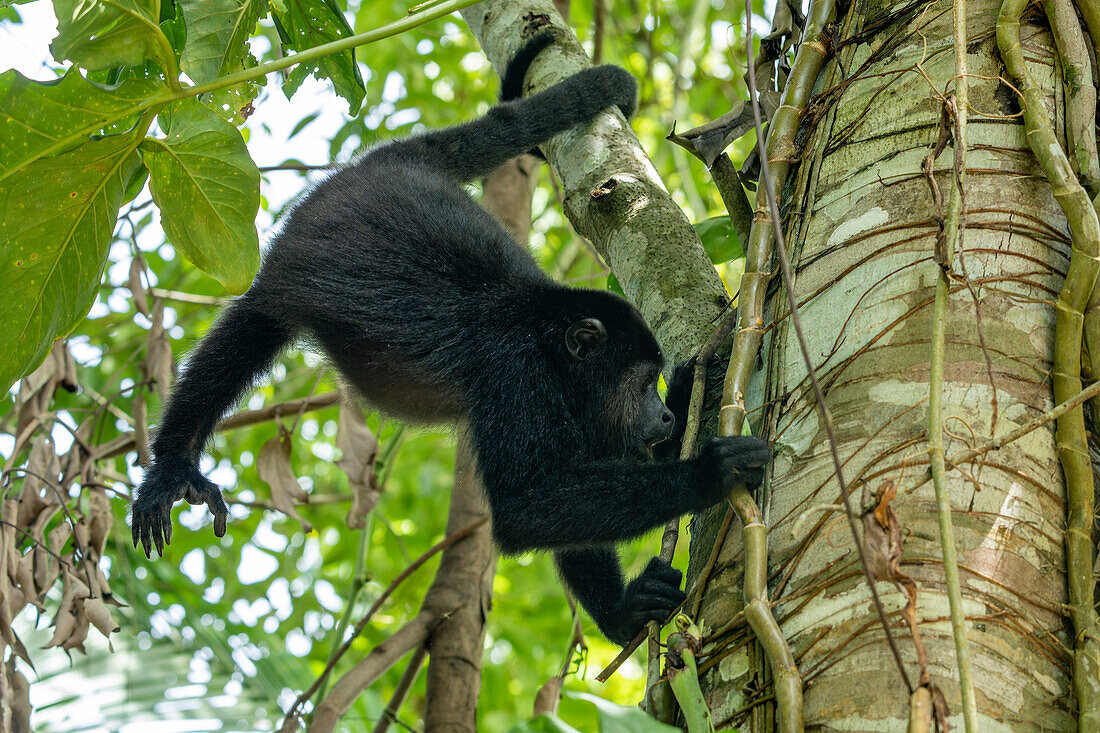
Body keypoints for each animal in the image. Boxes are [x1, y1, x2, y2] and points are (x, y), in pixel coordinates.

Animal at [130, 34, 765, 642]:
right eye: (638, 383)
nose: (663, 415)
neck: (546, 337)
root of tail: (375, 165)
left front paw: (623, 613)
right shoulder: (515, 377)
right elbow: (526, 506)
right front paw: (707, 473)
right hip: (289, 264)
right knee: (246, 333)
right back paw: (172, 468)